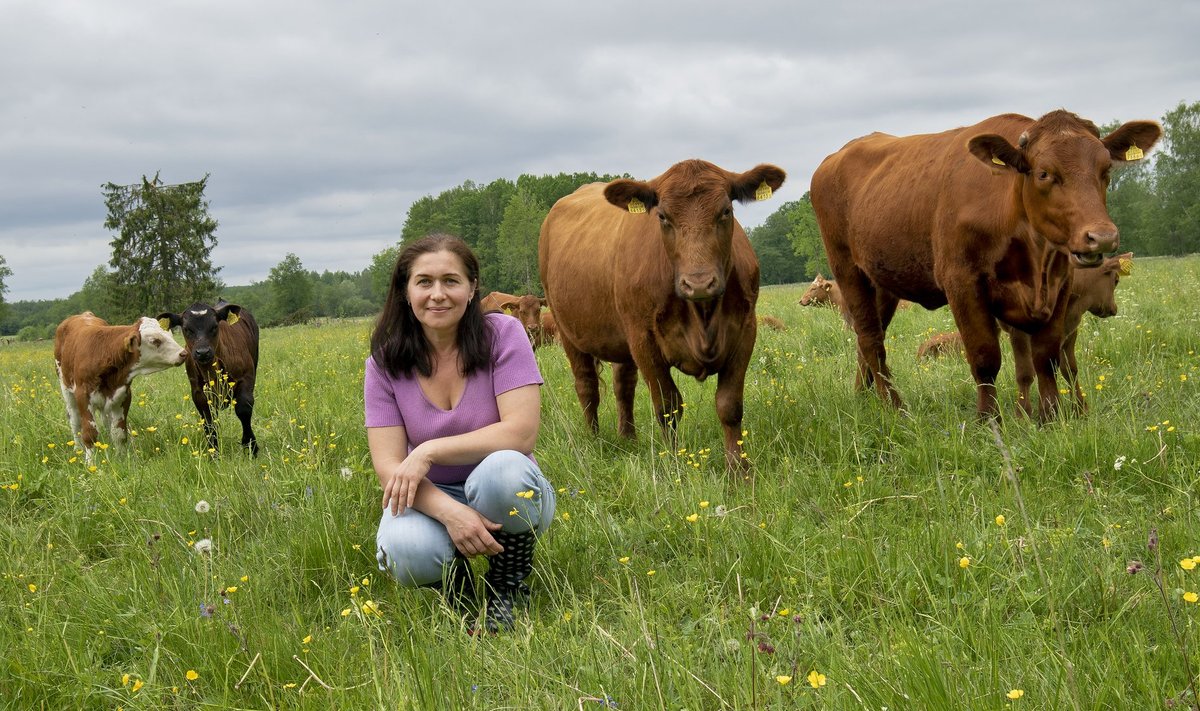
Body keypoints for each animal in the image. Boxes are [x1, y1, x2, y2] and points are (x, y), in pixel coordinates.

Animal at [52, 314, 186, 463]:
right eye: (155, 340)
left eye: (170, 334)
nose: (183, 353)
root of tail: (84, 314)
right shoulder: (83, 397)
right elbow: (89, 433)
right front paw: (90, 463)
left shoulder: (123, 396)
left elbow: (119, 433)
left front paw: (121, 458)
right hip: (66, 390)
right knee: (74, 420)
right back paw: (77, 448)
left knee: (106, 420)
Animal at [158, 300, 261, 456]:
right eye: (187, 329)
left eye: (214, 326)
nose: (203, 352)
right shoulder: (198, 392)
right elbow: (208, 421)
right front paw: (214, 452)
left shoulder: (246, 377)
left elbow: (243, 409)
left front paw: (251, 446)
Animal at [537, 158, 782, 475]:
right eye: (663, 217)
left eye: (726, 211)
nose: (699, 282)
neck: (703, 315)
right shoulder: (644, 338)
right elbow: (668, 406)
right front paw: (674, 464)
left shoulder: (745, 330)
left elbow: (729, 405)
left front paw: (738, 468)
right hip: (569, 332)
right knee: (586, 386)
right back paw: (593, 440)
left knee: (623, 385)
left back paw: (628, 437)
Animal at [811, 110, 1156, 420]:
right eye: (1044, 173)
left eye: (1106, 169)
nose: (1102, 237)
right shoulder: (963, 283)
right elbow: (985, 358)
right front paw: (989, 421)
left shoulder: (1060, 286)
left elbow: (1046, 357)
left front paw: (1050, 418)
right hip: (848, 270)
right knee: (872, 341)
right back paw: (894, 408)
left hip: (882, 280)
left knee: (867, 338)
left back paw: (863, 397)